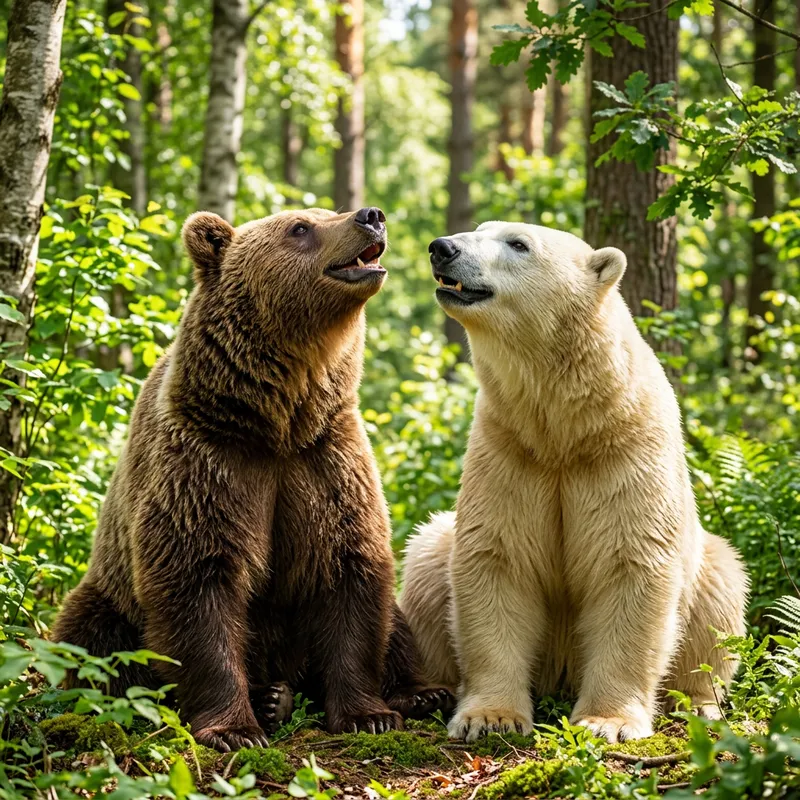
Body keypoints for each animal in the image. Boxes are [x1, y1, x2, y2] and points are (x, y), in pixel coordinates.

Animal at [52, 206, 452, 751]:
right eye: (300, 227)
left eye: (326, 211)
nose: (371, 216)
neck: (278, 418)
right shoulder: (208, 463)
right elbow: (197, 582)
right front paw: (234, 729)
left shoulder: (325, 459)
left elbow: (351, 572)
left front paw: (368, 713)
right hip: (111, 597)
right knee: (93, 642)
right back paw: (264, 699)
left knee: (396, 623)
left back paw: (419, 693)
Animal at [399, 221, 748, 744]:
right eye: (480, 230)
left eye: (518, 243)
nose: (443, 248)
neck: (567, 427)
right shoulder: (510, 448)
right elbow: (497, 559)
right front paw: (491, 717)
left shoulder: (625, 455)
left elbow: (632, 566)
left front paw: (608, 722)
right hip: (436, 553)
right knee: (424, 563)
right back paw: (428, 693)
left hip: (706, 568)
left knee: (720, 596)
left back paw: (699, 704)